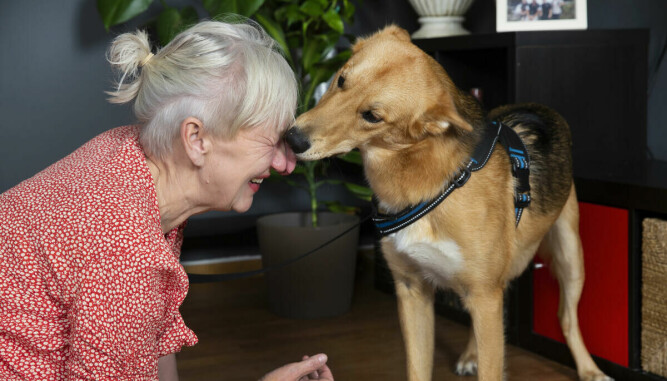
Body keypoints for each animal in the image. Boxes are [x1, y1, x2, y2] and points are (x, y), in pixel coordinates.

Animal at [284, 25, 612, 378]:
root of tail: (534, 106)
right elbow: (418, 368)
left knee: (566, 318)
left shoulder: (484, 295)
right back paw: (470, 353)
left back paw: (589, 369)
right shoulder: (413, 292)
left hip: (570, 256)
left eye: (372, 116)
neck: (427, 183)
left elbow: (492, 366)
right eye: (342, 79)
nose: (292, 140)